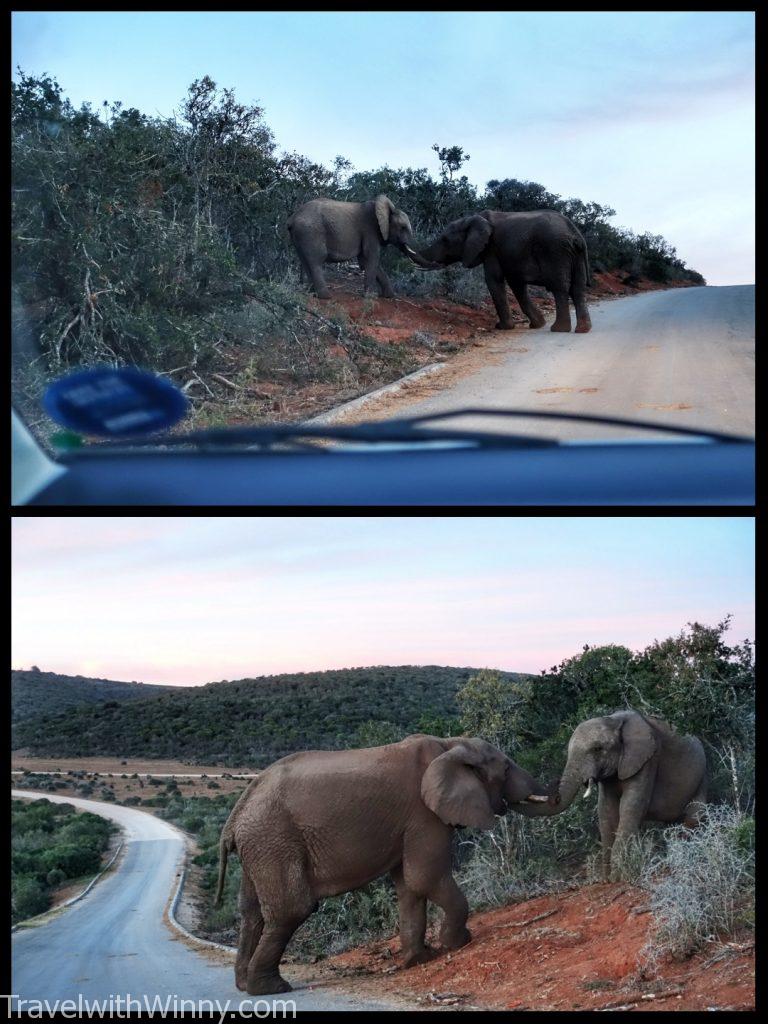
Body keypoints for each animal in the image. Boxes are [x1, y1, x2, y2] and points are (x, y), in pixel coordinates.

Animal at [217, 733, 548, 995]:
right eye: (506, 767)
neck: (451, 745)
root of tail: (234, 818)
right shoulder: (423, 814)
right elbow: (425, 877)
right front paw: (459, 943)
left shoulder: (407, 823)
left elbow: (409, 886)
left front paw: (419, 959)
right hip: (274, 840)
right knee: (292, 909)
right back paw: (271, 989)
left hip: (260, 847)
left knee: (251, 910)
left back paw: (244, 985)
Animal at [286, 193, 423, 299]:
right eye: (403, 228)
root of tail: (292, 218)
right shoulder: (370, 230)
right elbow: (371, 258)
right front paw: (370, 297)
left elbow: (365, 261)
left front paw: (388, 296)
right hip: (311, 232)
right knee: (316, 260)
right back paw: (326, 297)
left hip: (301, 235)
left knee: (305, 260)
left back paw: (312, 292)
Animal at [417, 207, 593, 331]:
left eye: (445, 240)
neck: (472, 218)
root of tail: (575, 233)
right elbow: (516, 284)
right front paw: (537, 325)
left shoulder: (491, 248)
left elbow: (493, 280)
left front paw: (502, 327)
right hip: (573, 254)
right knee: (578, 287)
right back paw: (582, 330)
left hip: (554, 251)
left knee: (559, 287)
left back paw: (559, 329)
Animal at [518, 708, 708, 876]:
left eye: (597, 749)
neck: (614, 720)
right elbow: (606, 810)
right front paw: (608, 879)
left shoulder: (648, 759)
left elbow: (630, 806)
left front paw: (619, 877)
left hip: (703, 777)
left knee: (693, 818)